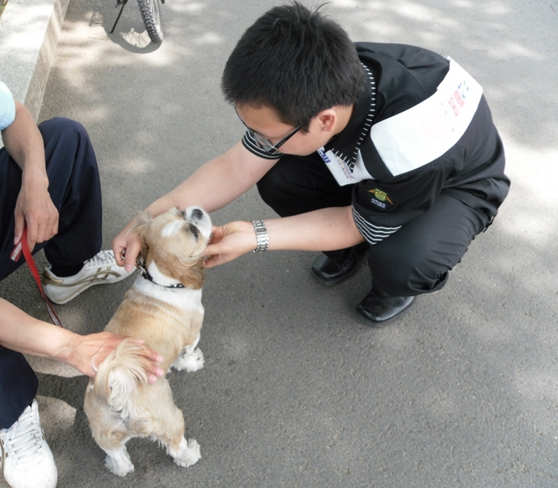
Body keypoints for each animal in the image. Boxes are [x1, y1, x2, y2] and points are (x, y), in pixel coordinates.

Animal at [83, 206, 212, 476]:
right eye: (194, 233)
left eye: (179, 209)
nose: (196, 210)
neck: (165, 283)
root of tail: (115, 393)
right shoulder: (193, 334)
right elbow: (185, 354)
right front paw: (190, 363)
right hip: (169, 418)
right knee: (175, 445)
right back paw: (189, 454)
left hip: (104, 432)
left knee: (118, 457)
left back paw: (117, 466)